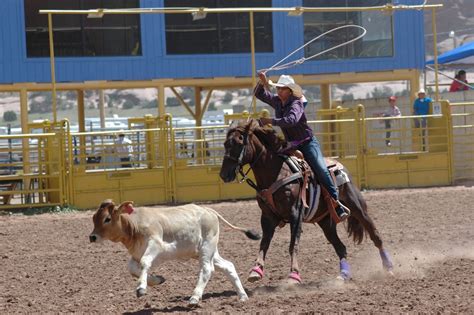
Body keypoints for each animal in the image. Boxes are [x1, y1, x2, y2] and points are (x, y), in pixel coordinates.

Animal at [89, 200, 260, 306]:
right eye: (94, 218)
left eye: (107, 218)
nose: (92, 237)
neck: (134, 226)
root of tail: (208, 210)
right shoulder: (144, 254)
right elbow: (133, 268)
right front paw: (156, 280)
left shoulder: (155, 244)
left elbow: (144, 262)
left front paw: (141, 288)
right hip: (208, 252)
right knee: (228, 266)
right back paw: (242, 296)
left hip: (207, 247)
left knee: (207, 269)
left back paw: (195, 297)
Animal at [218, 120, 392, 284]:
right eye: (226, 144)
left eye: (239, 143)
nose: (223, 174)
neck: (277, 172)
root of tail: (341, 167)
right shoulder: (267, 216)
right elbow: (264, 243)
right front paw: (256, 271)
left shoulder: (296, 213)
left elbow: (293, 245)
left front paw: (294, 275)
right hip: (326, 222)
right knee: (341, 248)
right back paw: (343, 275)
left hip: (356, 208)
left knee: (375, 235)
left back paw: (388, 267)